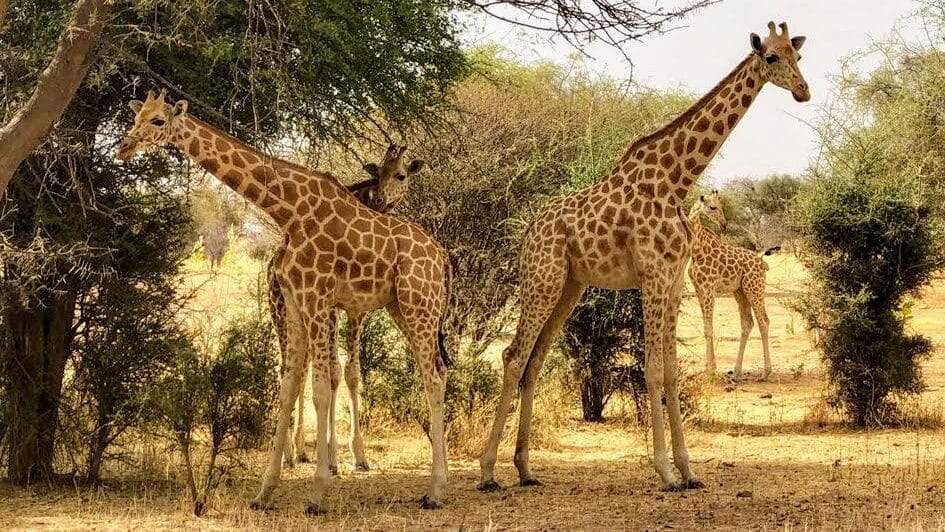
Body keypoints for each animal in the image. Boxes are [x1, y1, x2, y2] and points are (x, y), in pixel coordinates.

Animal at [275, 144, 425, 471]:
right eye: (378, 173)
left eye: (400, 174)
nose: (380, 198)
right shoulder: (334, 308)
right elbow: (334, 373)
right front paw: (334, 457)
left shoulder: (358, 310)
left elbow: (351, 374)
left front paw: (358, 456)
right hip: (281, 311)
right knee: (294, 370)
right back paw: (291, 452)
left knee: (300, 370)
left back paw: (299, 451)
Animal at [688, 191, 780, 380]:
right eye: (712, 207)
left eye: (720, 206)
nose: (723, 224)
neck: (696, 250)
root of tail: (762, 262)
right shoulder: (698, 289)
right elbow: (706, 327)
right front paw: (707, 369)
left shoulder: (709, 288)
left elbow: (709, 328)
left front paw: (711, 370)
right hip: (740, 291)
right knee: (747, 323)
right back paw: (736, 372)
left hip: (754, 288)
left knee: (763, 321)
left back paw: (765, 372)